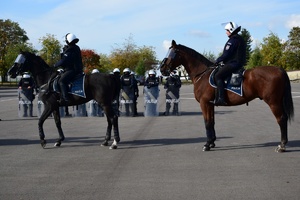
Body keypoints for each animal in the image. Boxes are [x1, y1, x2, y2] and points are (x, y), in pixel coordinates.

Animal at [161, 40, 294, 153]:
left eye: (172, 52)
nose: (161, 69)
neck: (202, 74)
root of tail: (279, 69)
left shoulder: (204, 103)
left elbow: (207, 122)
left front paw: (207, 145)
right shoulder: (210, 104)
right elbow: (212, 122)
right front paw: (212, 142)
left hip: (273, 102)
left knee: (281, 119)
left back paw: (282, 146)